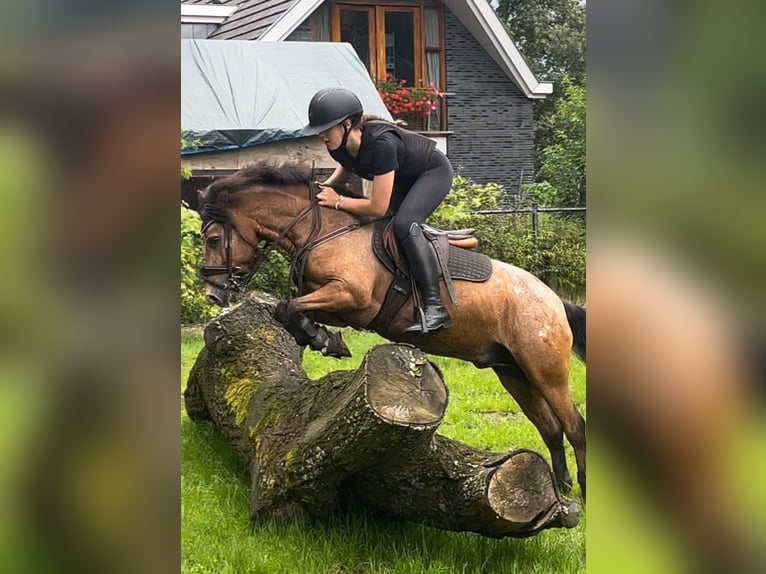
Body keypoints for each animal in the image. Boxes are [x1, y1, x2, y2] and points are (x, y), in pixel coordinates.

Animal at [198, 161, 588, 500]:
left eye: (214, 240)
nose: (212, 295)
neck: (324, 231)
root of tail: (555, 302)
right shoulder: (338, 305)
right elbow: (287, 310)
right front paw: (321, 338)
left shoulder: (353, 298)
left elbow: (291, 307)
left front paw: (322, 339)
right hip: (512, 372)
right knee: (551, 428)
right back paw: (560, 486)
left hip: (545, 371)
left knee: (574, 426)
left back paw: (583, 491)